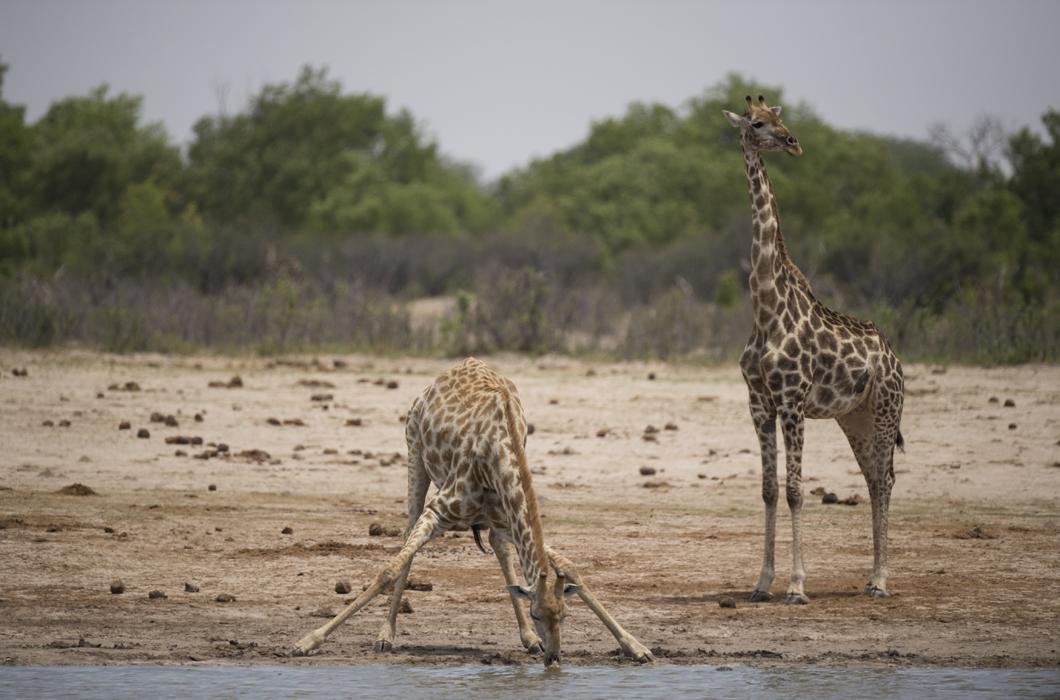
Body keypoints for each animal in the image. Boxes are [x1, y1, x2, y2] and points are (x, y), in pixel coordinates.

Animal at [292, 360, 652, 666]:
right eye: (536, 613)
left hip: (493, 518)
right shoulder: (438, 511)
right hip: (414, 455)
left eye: (564, 615)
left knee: (498, 547)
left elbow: (570, 565)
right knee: (407, 536)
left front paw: (636, 646)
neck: (499, 451)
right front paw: (308, 641)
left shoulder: (507, 516)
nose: (554, 659)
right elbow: (388, 571)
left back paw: (529, 640)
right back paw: (386, 635)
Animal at [725, 95, 907, 602]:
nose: (793, 142)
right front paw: (761, 583)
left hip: (886, 409)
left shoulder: (792, 401)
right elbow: (769, 490)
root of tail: (894, 358)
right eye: (757, 123)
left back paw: (881, 580)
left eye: (781, 119)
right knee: (873, 478)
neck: (765, 309)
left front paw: (796, 586)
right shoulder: (759, 403)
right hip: (855, 416)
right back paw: (871, 576)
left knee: (886, 479)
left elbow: (795, 490)